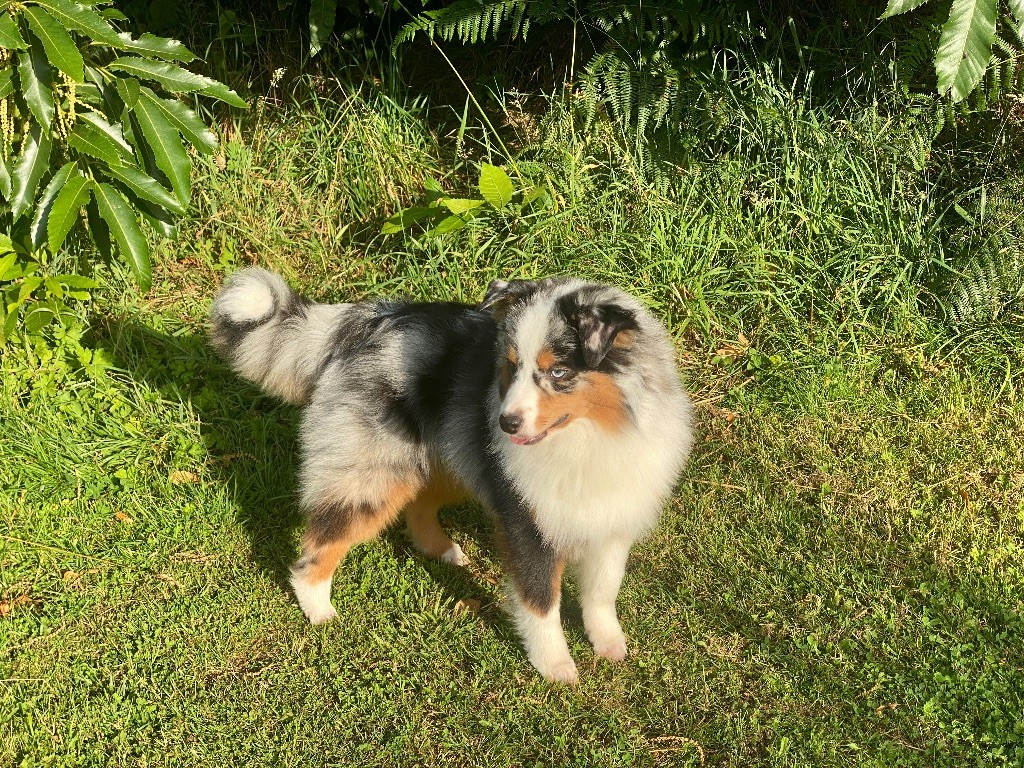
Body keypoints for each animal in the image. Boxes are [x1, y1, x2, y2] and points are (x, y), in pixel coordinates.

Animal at [214, 270, 696, 684]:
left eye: (558, 372)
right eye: (511, 367)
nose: (504, 424)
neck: (588, 435)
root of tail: (368, 321)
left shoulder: (611, 521)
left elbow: (602, 592)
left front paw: (609, 645)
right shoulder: (527, 523)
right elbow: (541, 601)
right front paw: (556, 667)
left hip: (445, 458)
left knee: (419, 507)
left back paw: (441, 550)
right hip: (372, 475)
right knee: (322, 544)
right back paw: (319, 610)